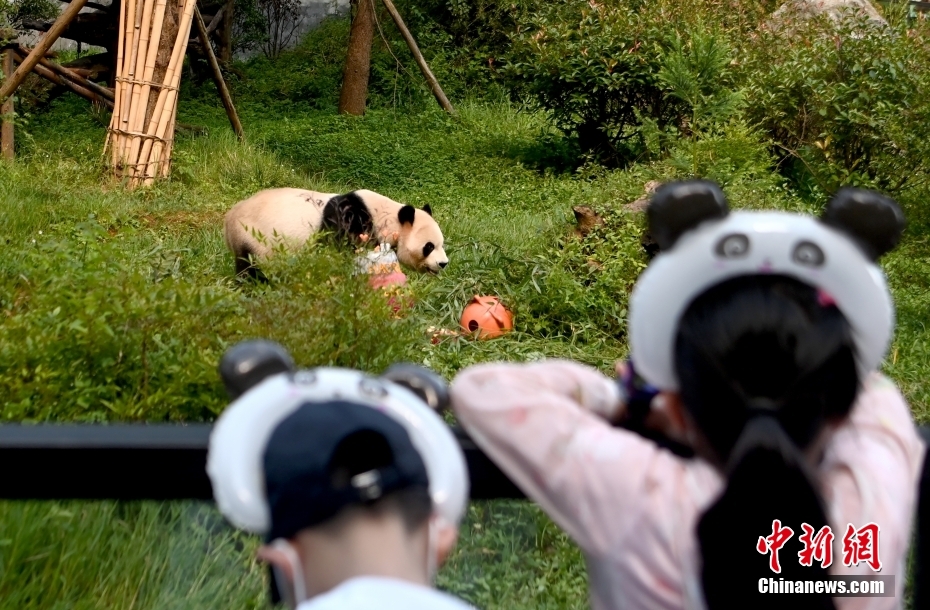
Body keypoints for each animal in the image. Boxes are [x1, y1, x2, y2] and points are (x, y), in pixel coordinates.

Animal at [221, 186, 446, 276]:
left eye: (442, 244)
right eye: (429, 246)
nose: (443, 263)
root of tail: (229, 219)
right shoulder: (350, 223)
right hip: (253, 237)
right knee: (251, 268)